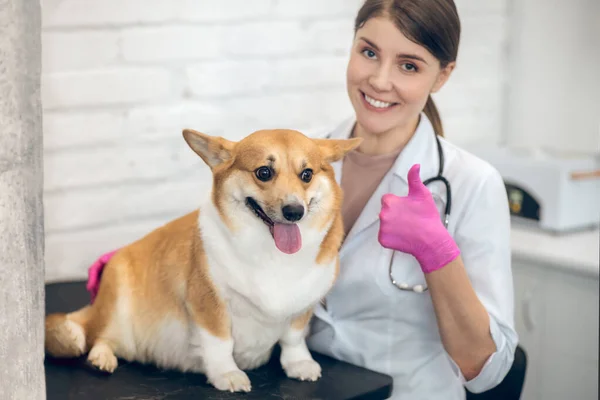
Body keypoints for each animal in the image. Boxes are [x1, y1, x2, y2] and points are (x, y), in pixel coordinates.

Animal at [45, 129, 360, 394]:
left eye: (307, 174)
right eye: (264, 172)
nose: (294, 211)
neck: (272, 255)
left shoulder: (304, 305)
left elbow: (293, 338)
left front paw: (299, 364)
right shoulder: (208, 302)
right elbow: (221, 343)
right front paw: (227, 374)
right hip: (116, 302)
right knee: (98, 335)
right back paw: (102, 357)